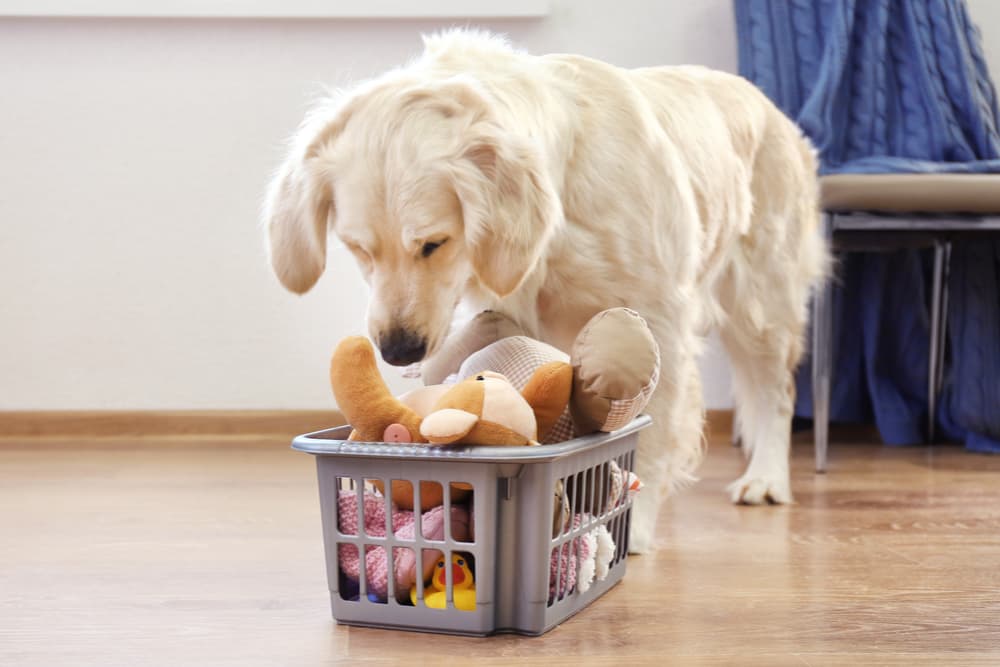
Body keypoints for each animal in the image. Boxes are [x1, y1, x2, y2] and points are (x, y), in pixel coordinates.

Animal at [264, 30, 828, 552]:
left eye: (434, 244)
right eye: (358, 248)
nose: (399, 350)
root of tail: (765, 102)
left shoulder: (658, 318)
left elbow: (650, 430)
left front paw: (633, 526)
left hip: (761, 299)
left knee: (775, 394)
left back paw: (766, 478)